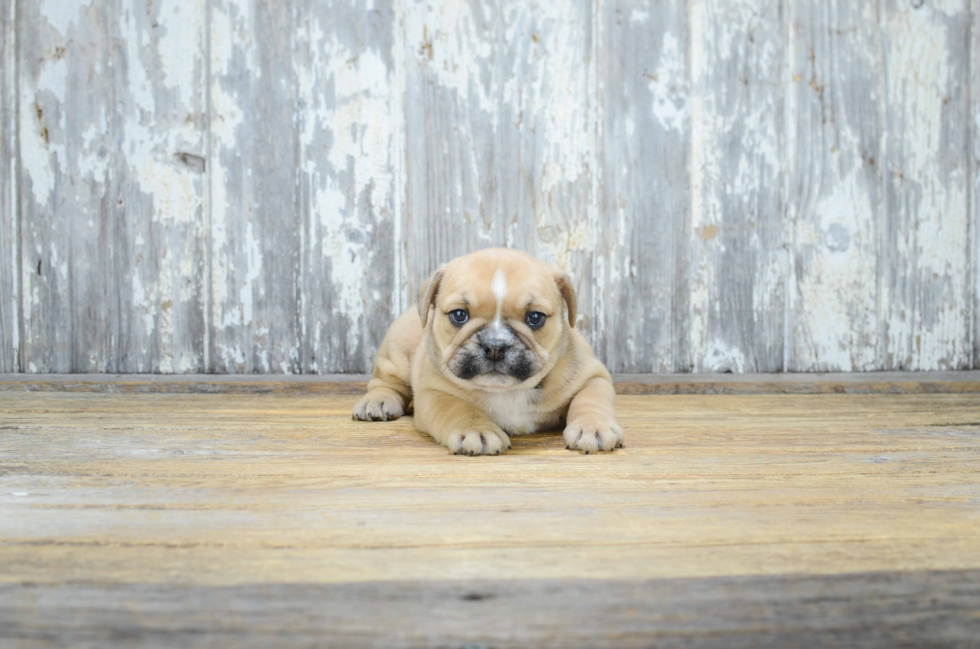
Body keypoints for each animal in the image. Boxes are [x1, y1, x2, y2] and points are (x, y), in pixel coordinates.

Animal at [352, 248, 624, 456]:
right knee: (385, 381)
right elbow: (458, 409)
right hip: (396, 354)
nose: (495, 346)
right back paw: (377, 401)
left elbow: (590, 399)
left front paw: (593, 427)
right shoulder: (433, 393)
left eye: (535, 318)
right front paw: (476, 431)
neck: (506, 391)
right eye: (459, 315)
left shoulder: (592, 376)